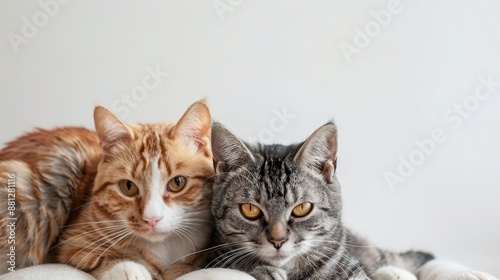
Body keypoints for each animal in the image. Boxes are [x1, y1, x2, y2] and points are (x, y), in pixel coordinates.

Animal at [0, 101, 213, 280]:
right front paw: (131, 270)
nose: (151, 219)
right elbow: (101, 257)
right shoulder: (72, 243)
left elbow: (187, 267)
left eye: (177, 182)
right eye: (128, 187)